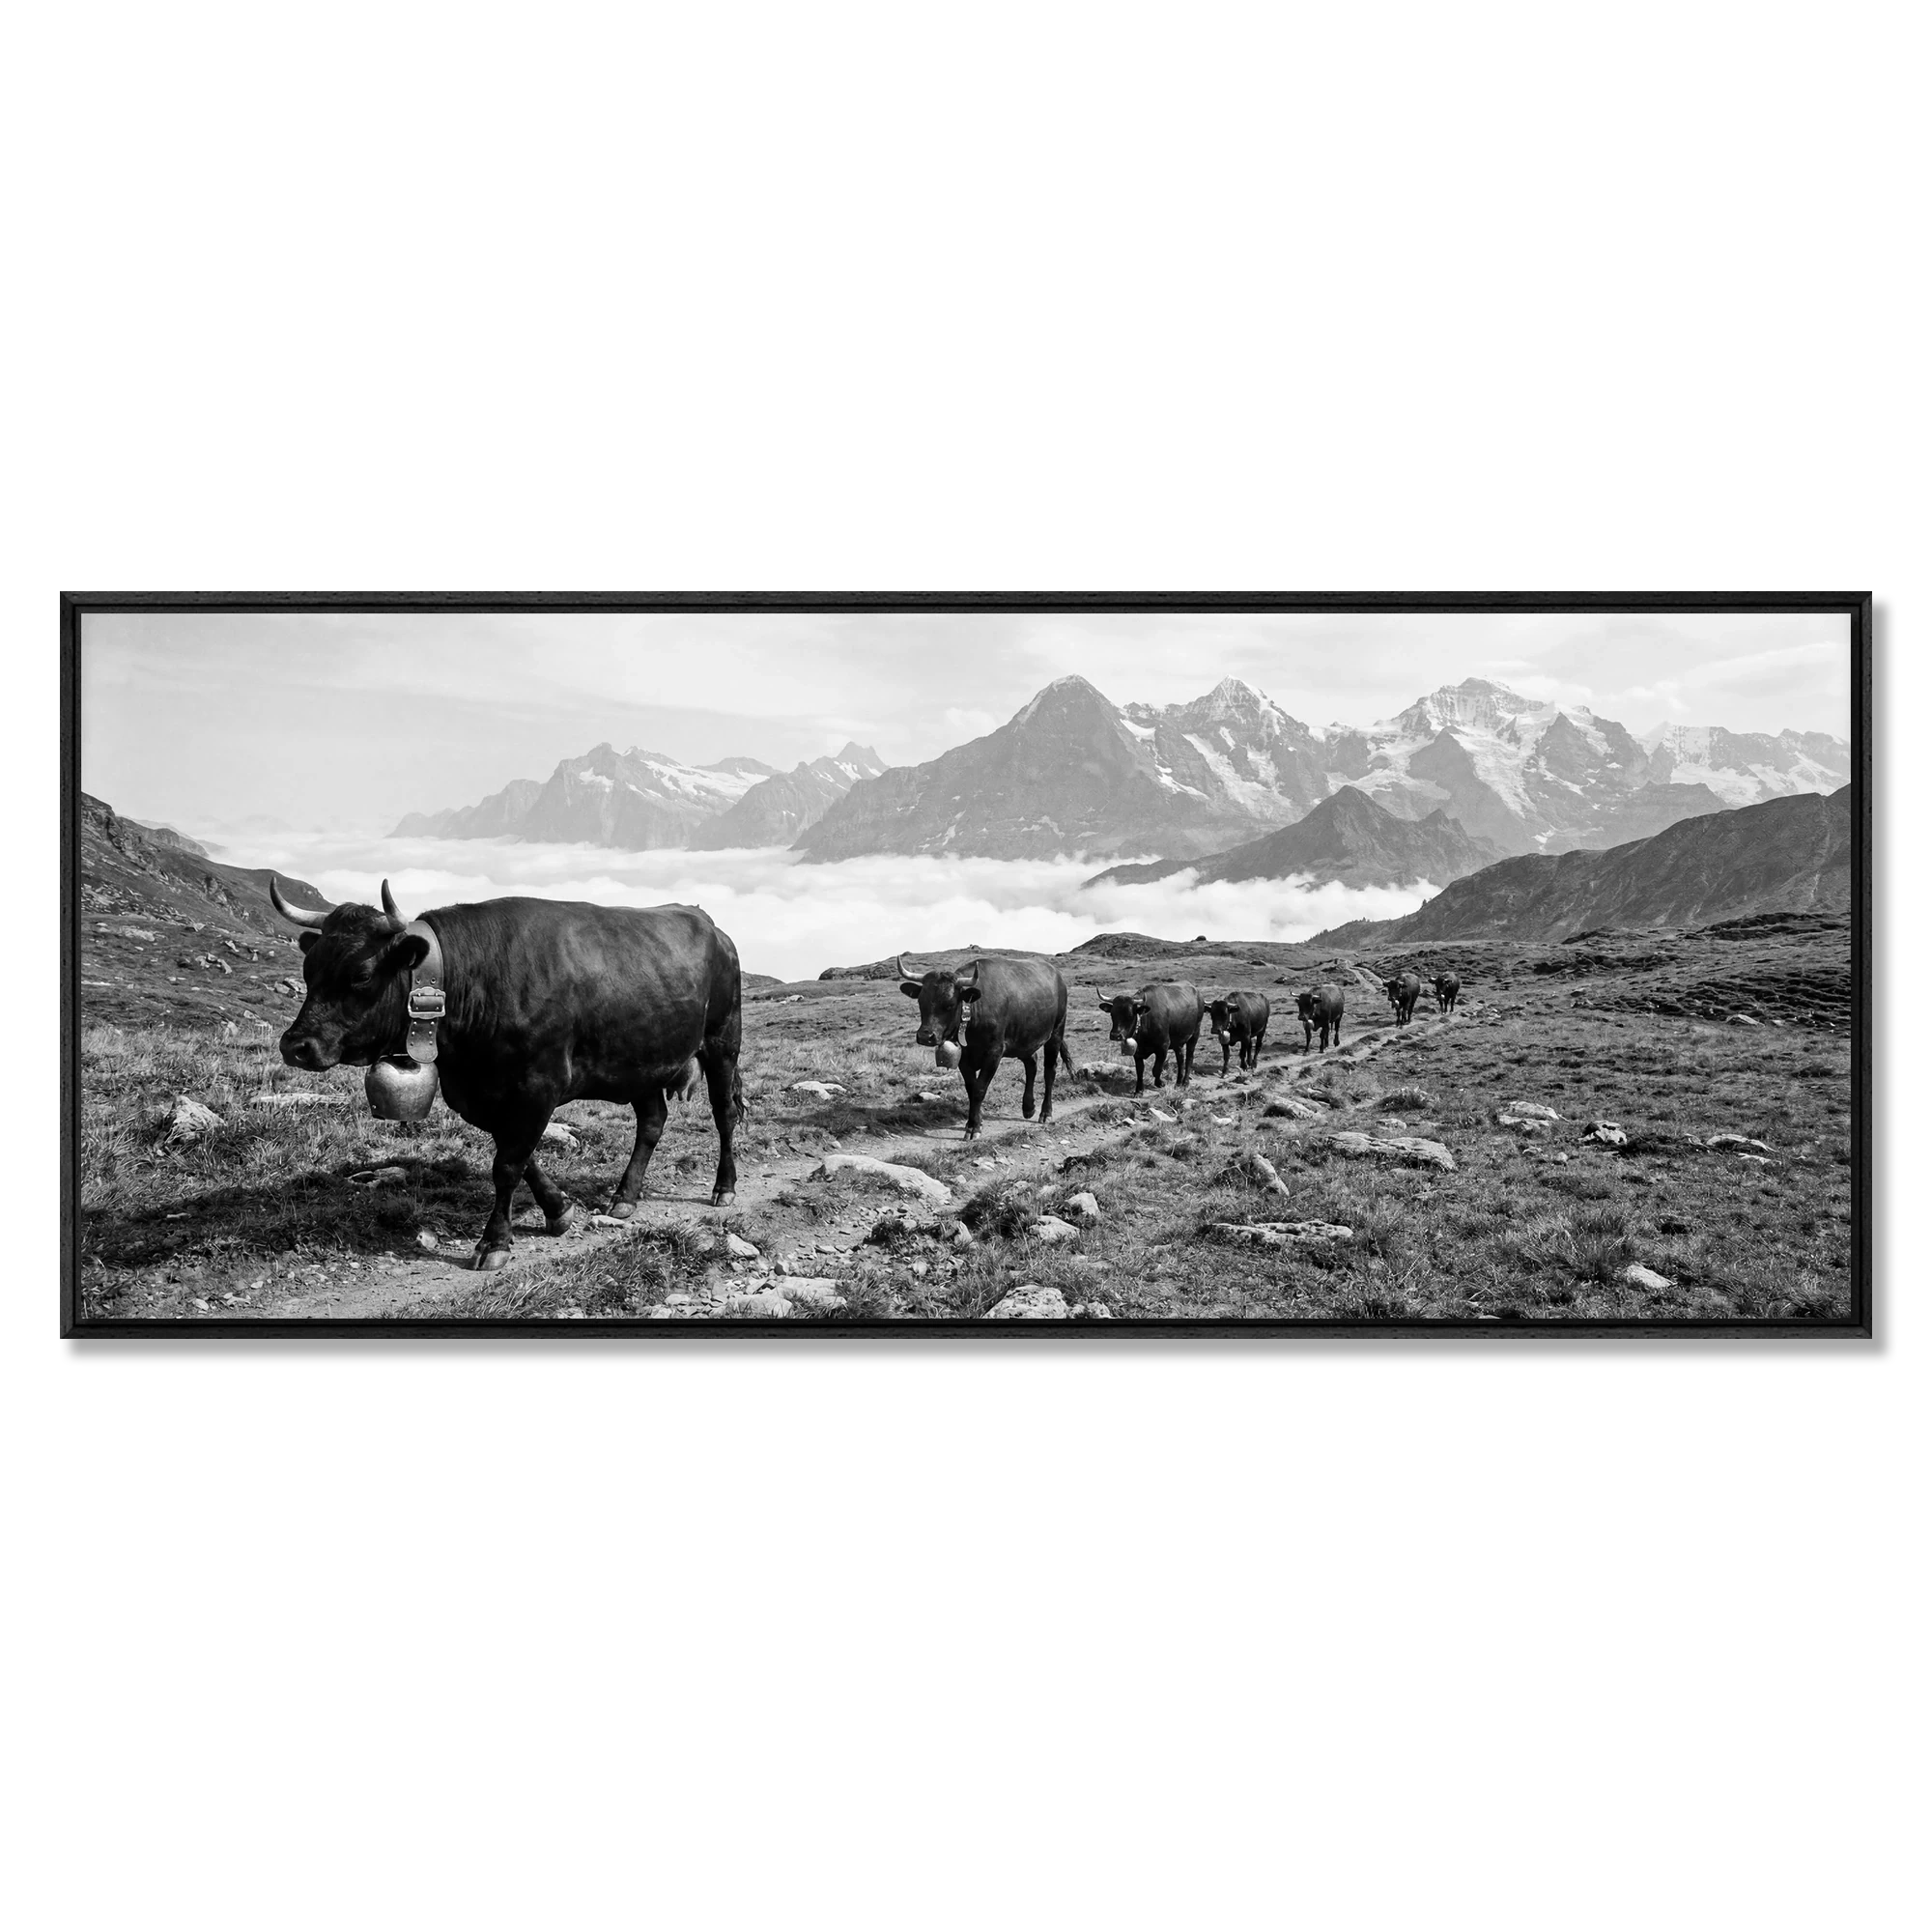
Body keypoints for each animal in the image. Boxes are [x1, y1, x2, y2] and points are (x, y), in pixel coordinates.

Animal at [272, 878, 743, 1270]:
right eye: (309, 970)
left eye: (362, 974)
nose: (295, 1046)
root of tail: (709, 923)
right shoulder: (479, 1096)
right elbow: (517, 1155)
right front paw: (559, 1210)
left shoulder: (538, 1086)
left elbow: (507, 1165)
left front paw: (494, 1242)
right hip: (640, 1062)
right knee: (652, 1122)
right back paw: (624, 1197)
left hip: (723, 1041)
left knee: (724, 1114)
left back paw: (724, 1187)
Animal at [898, 951, 1072, 1139]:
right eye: (920, 1001)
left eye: (949, 1005)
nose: (925, 1036)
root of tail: (1057, 975)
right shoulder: (964, 1057)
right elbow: (971, 1088)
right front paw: (975, 1121)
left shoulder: (994, 1052)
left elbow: (980, 1088)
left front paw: (973, 1127)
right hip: (1025, 1040)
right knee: (1032, 1065)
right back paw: (1028, 1107)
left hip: (1056, 1033)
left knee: (1049, 1072)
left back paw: (1045, 1112)